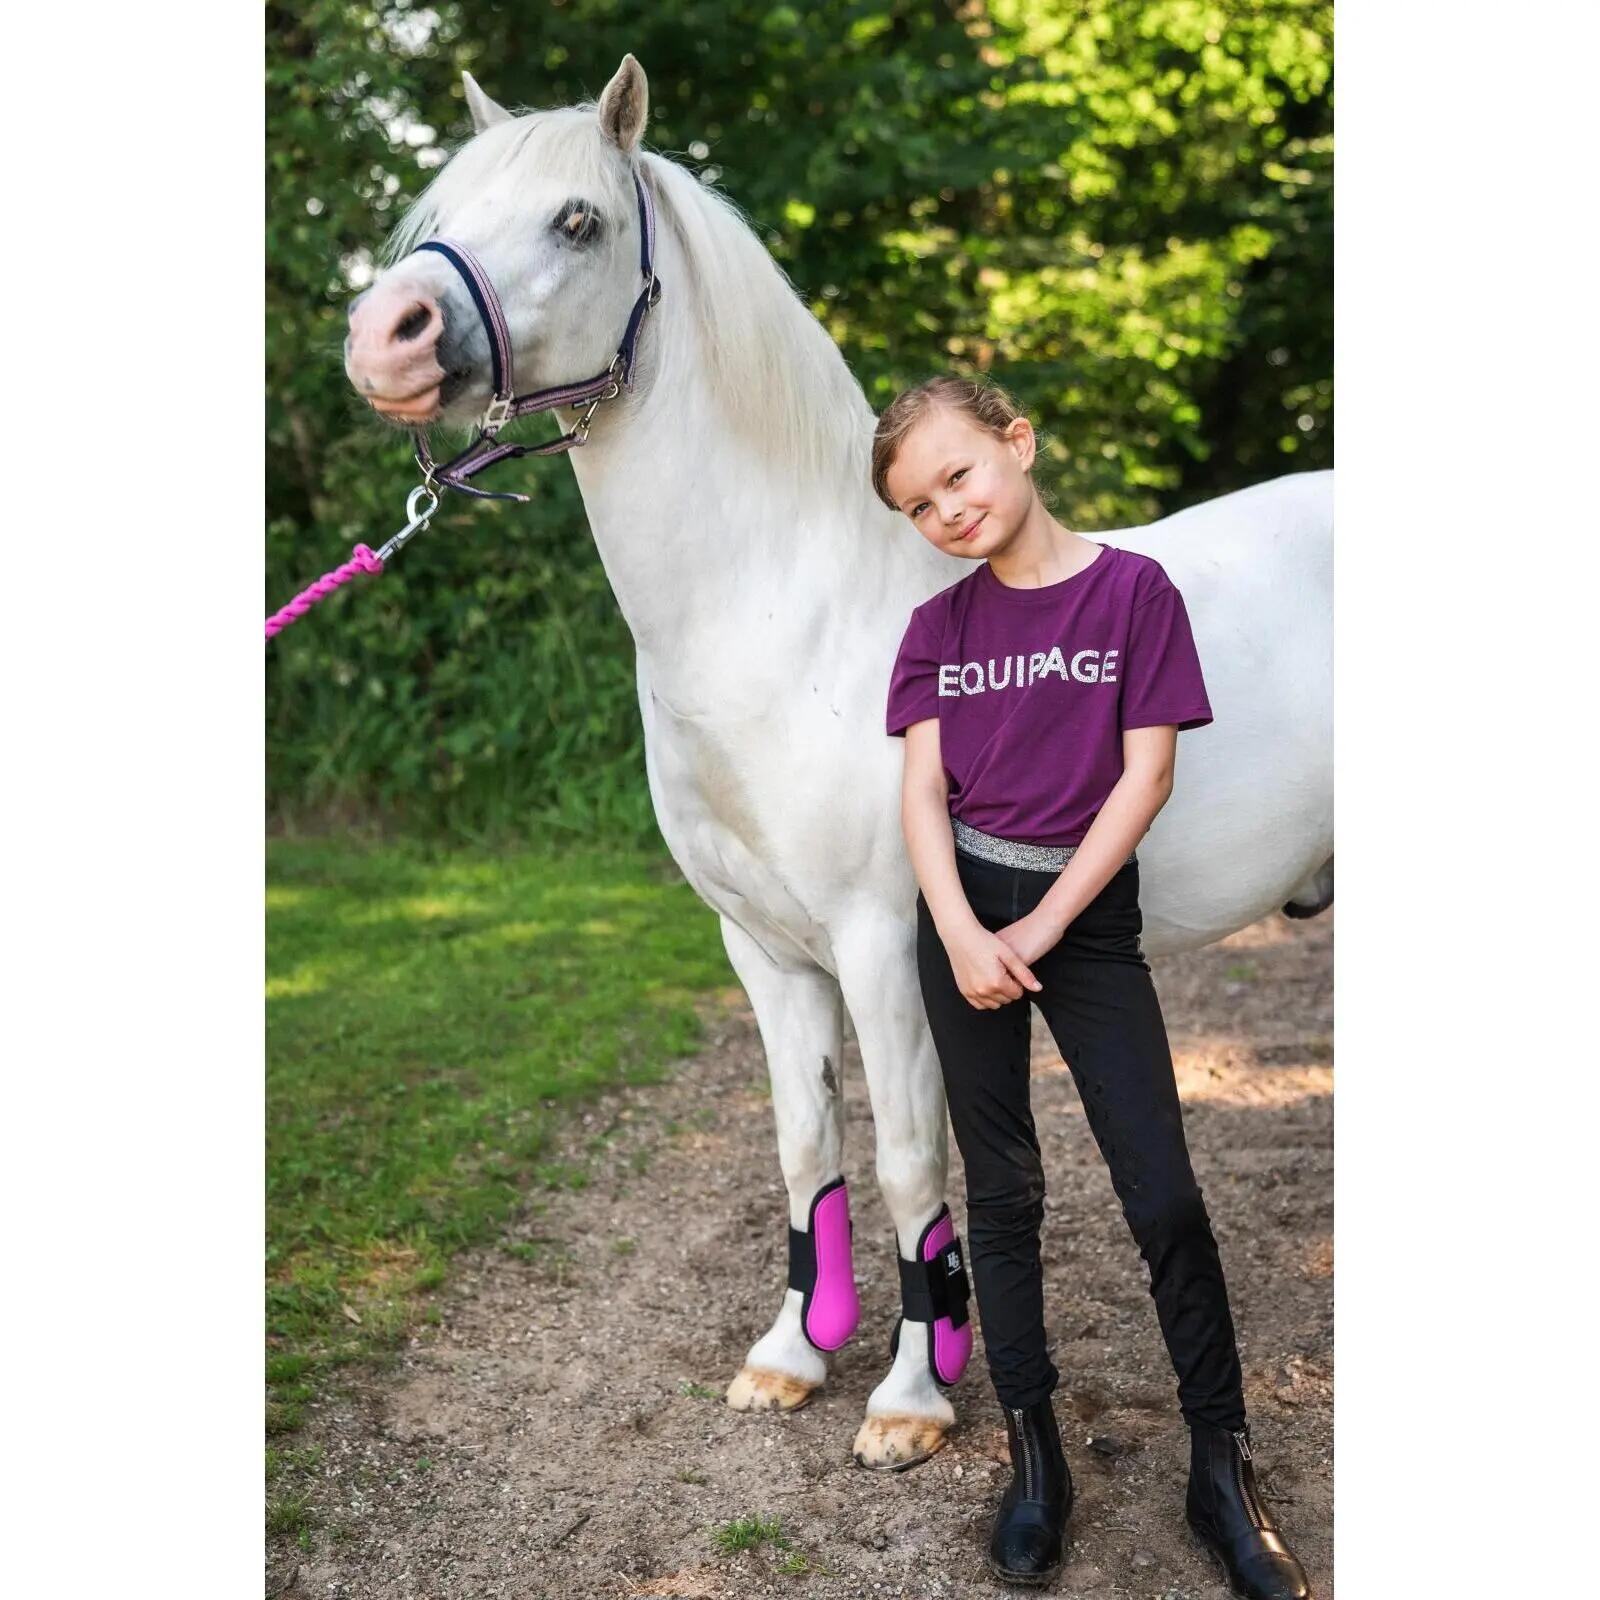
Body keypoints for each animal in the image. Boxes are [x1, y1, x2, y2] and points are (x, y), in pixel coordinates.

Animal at [340, 54, 1333, 1469]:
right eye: (443, 205)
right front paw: (792, 1356)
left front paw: (912, 1395)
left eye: (577, 220)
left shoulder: (886, 947)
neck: (788, 613)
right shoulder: (762, 949)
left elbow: (914, 1158)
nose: (388, 335)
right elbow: (806, 1145)